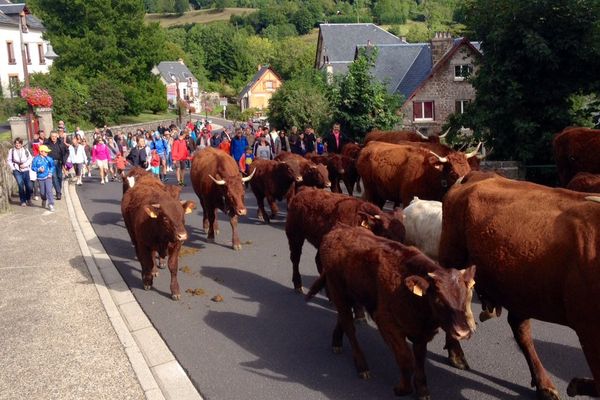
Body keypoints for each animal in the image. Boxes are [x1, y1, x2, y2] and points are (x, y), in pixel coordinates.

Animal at [308, 225, 476, 396]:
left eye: (465, 298)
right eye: (439, 299)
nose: (463, 332)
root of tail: (338, 229)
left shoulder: (421, 333)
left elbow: (419, 359)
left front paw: (422, 389)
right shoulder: (387, 324)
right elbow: (406, 358)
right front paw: (403, 389)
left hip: (353, 293)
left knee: (342, 318)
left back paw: (336, 342)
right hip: (337, 290)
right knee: (349, 325)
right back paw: (362, 366)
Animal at [438, 173, 600, 400]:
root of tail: (478, 175)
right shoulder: (589, 328)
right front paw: (577, 384)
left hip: (520, 286)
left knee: (519, 328)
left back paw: (544, 384)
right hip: (452, 258)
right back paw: (456, 355)